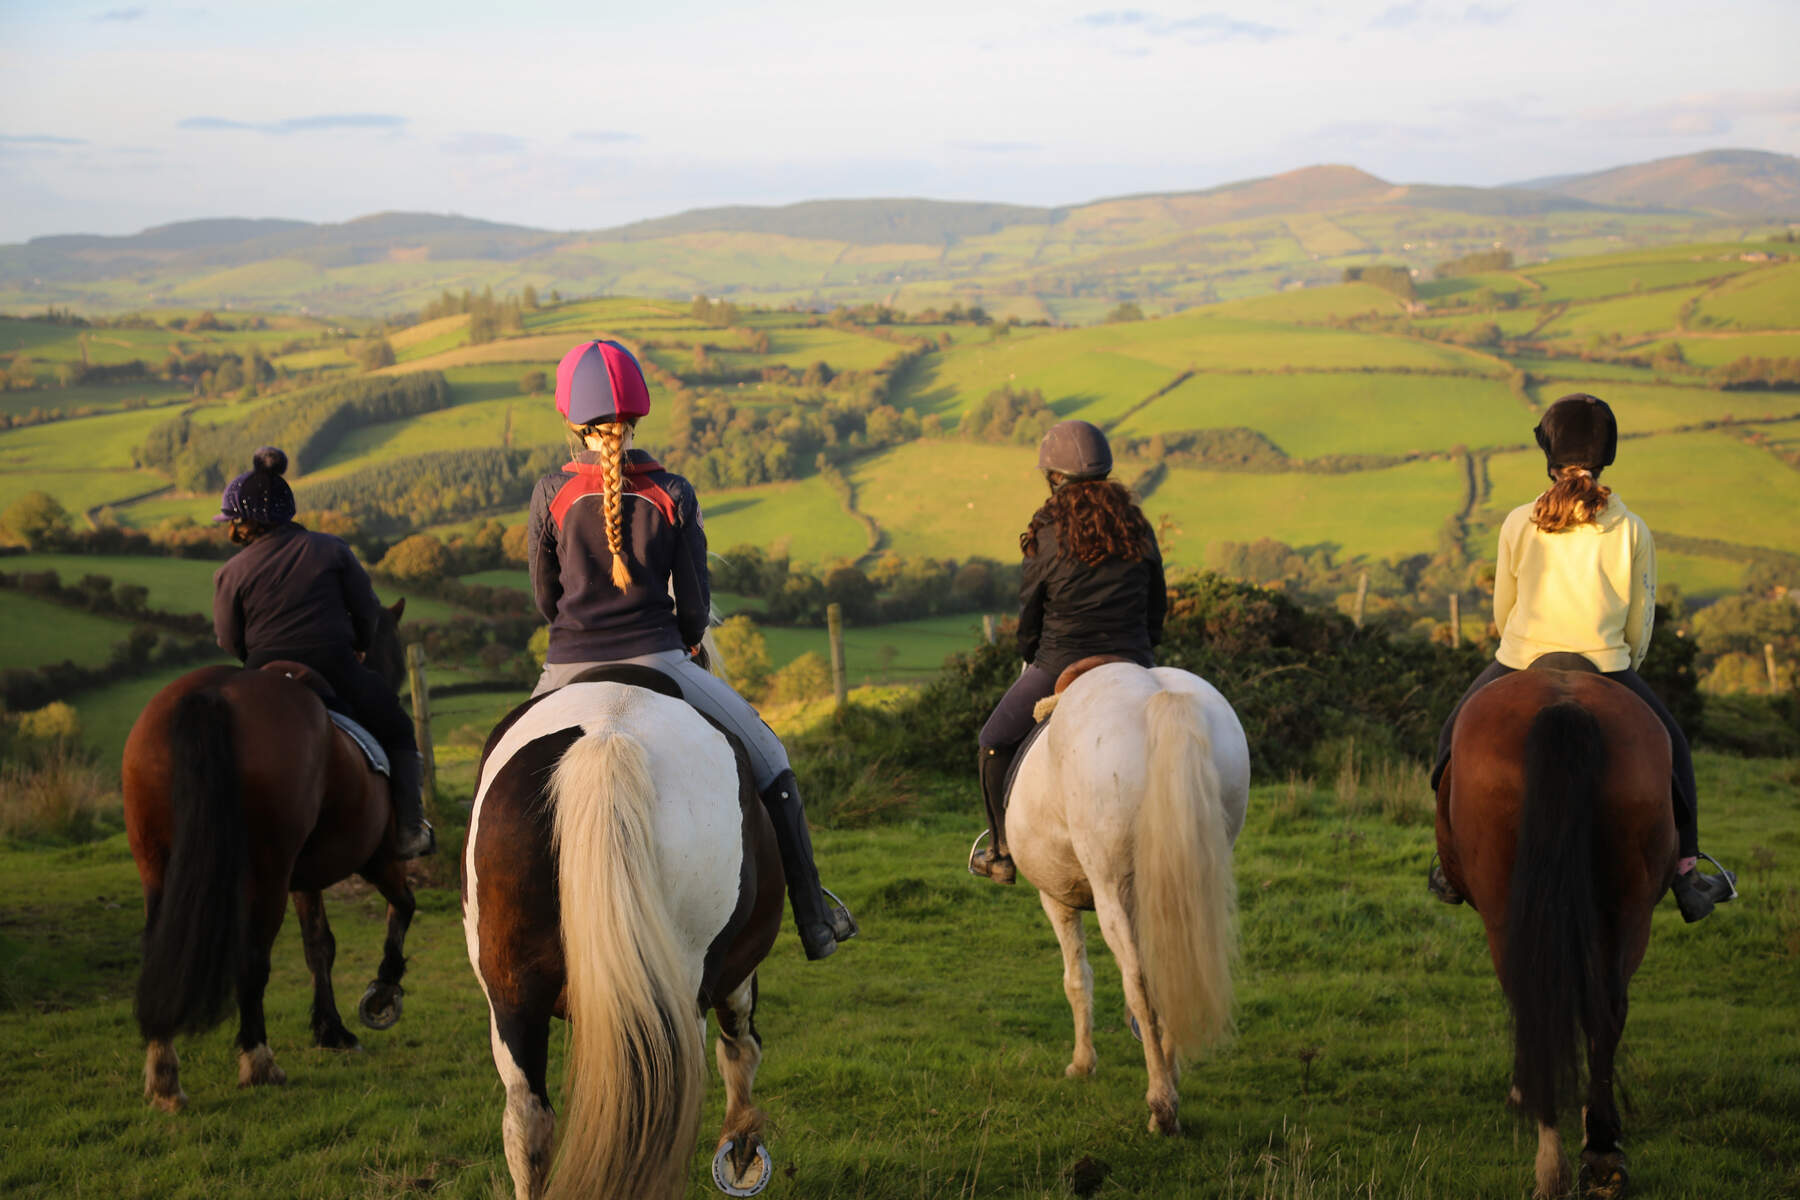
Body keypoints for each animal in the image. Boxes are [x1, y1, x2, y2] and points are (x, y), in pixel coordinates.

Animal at [123, 600, 414, 1115]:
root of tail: (210, 695)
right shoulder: (379, 860)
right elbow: (401, 910)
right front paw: (381, 994)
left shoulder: (305, 879)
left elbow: (319, 946)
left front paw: (331, 1029)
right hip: (268, 871)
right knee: (252, 959)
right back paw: (259, 1063)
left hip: (157, 866)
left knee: (159, 955)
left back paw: (164, 1075)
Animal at [460, 665, 784, 1200]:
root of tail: (608, 733)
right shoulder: (735, 975)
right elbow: (740, 1048)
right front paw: (740, 1153)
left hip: (510, 994)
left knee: (527, 1120)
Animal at [1008, 665, 1245, 1137]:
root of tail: (1159, 694)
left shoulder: (1055, 897)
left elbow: (1077, 978)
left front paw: (1082, 1065)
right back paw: (1170, 1083)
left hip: (1112, 889)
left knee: (1139, 982)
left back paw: (1162, 1107)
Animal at [1432, 658, 1670, 1200]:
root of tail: (1564, 705)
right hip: (1629, 907)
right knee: (1604, 1009)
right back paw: (1600, 1155)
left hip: (1508, 909)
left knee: (1538, 996)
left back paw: (1552, 1158)